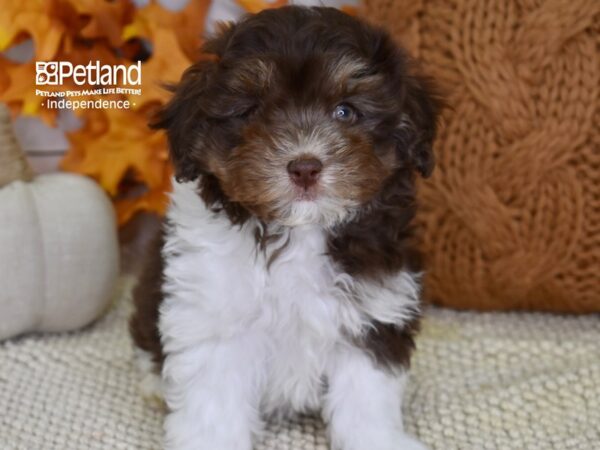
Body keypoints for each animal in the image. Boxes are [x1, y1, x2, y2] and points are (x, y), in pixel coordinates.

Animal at [129, 4, 438, 450]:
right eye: (252, 111)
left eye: (345, 111)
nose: (305, 167)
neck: (298, 230)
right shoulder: (214, 317)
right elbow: (213, 404)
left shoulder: (373, 311)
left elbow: (365, 397)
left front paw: (377, 438)